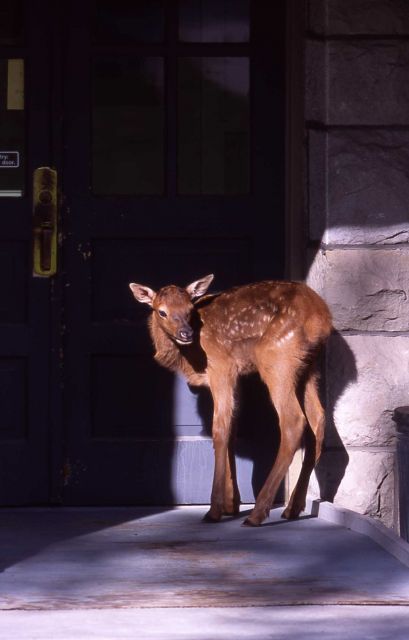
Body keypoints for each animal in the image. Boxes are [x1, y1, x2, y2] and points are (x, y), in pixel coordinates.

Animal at [129, 276, 334, 524]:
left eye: (189, 309)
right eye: (162, 312)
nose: (186, 333)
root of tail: (321, 318)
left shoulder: (221, 365)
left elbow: (220, 429)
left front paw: (215, 509)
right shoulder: (236, 374)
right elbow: (232, 428)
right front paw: (231, 504)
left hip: (277, 357)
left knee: (293, 420)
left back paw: (257, 513)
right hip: (308, 366)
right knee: (318, 418)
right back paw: (292, 508)